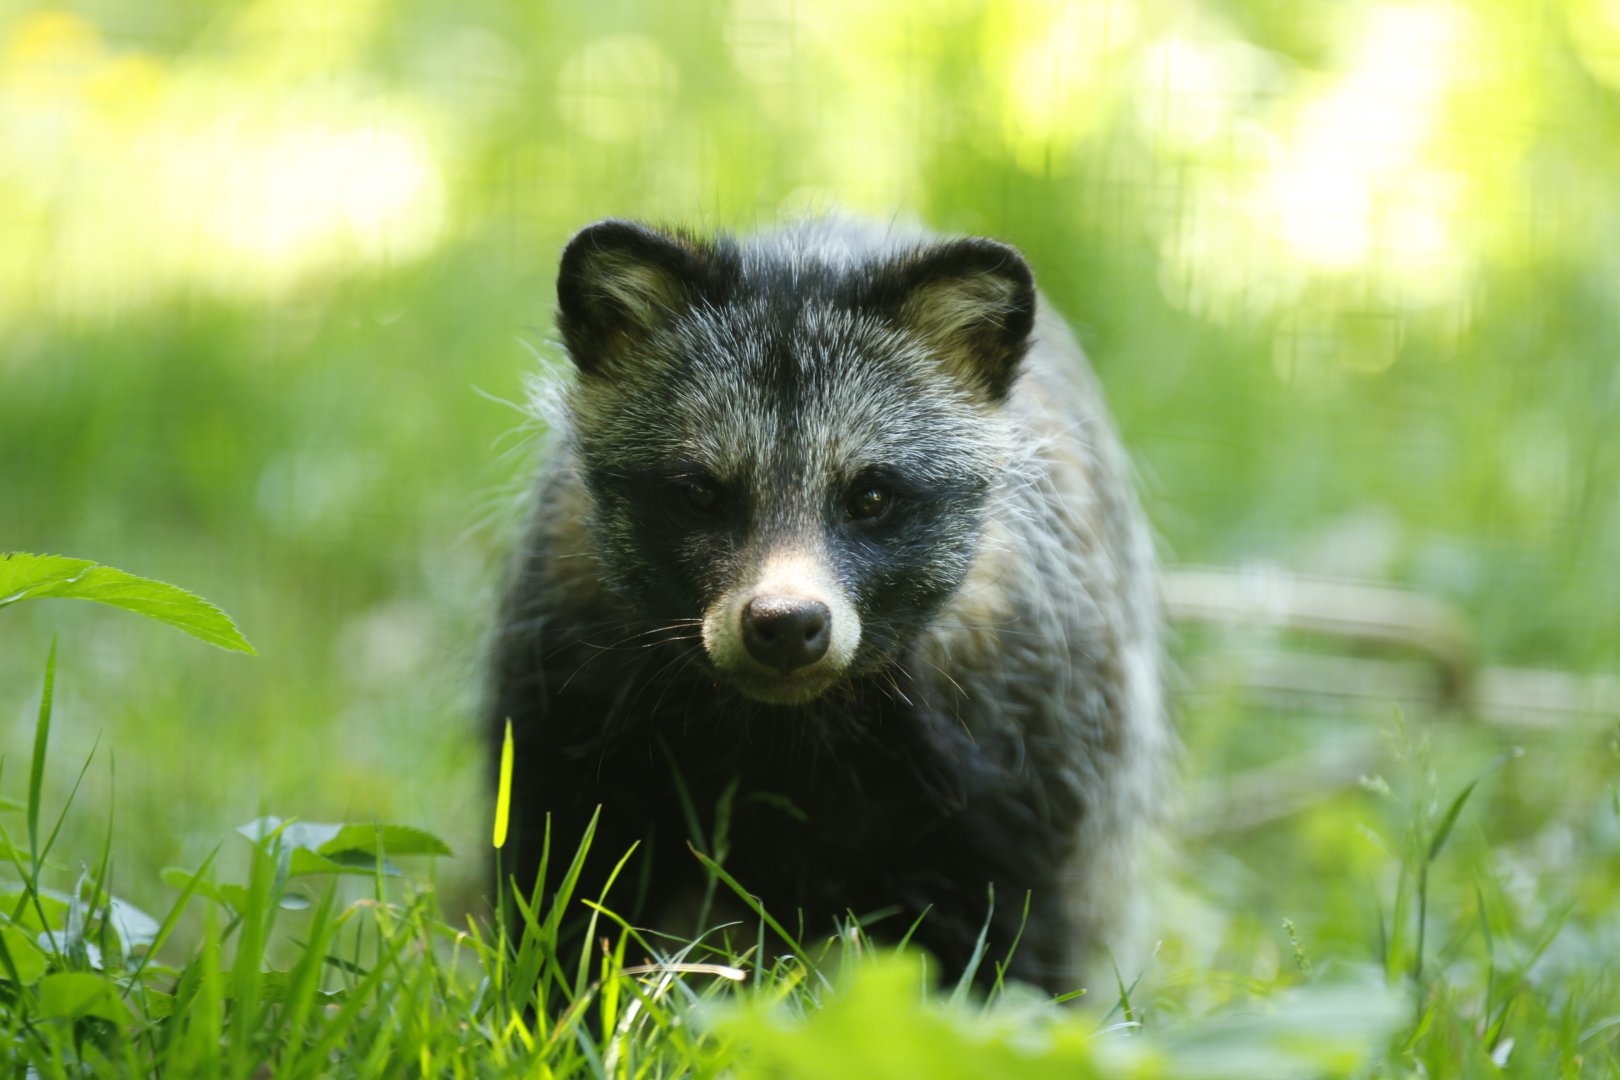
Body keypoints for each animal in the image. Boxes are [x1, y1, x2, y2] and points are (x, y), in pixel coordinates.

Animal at [488, 217, 1167, 995]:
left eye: (870, 496)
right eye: (701, 494)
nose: (785, 625)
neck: (785, 724)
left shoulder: (1027, 721)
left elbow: (1017, 935)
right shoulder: (567, 667)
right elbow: (570, 885)